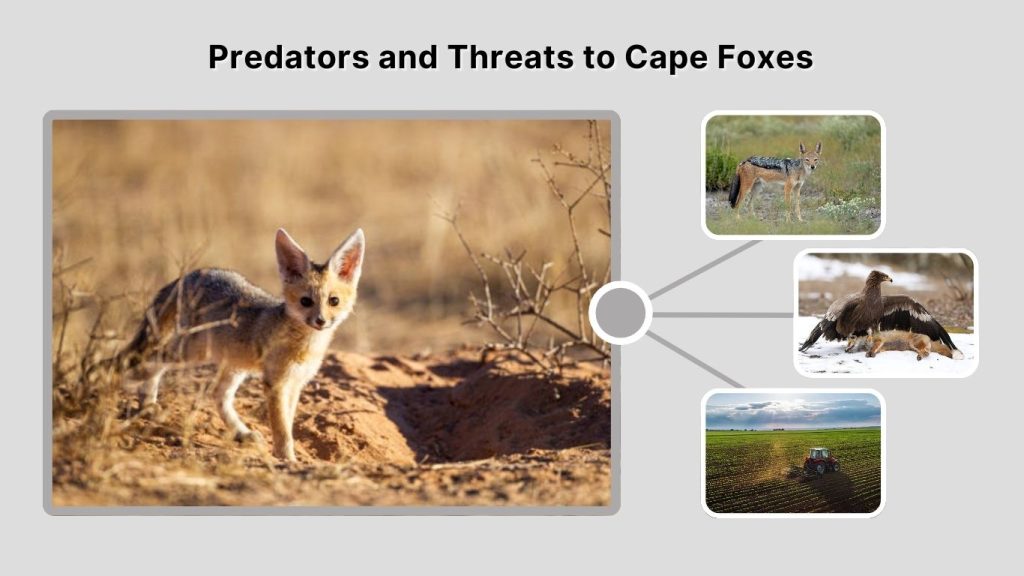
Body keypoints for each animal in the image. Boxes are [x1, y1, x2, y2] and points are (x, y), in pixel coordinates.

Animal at [119, 227, 365, 461]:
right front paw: (287, 458)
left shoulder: (296, 383)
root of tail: (192, 274)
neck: (308, 346)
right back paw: (144, 403)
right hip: (190, 352)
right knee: (151, 362)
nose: (321, 321)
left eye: (333, 301)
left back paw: (241, 433)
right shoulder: (276, 384)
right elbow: (282, 429)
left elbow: (288, 423)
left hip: (233, 365)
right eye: (306, 301)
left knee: (218, 395)